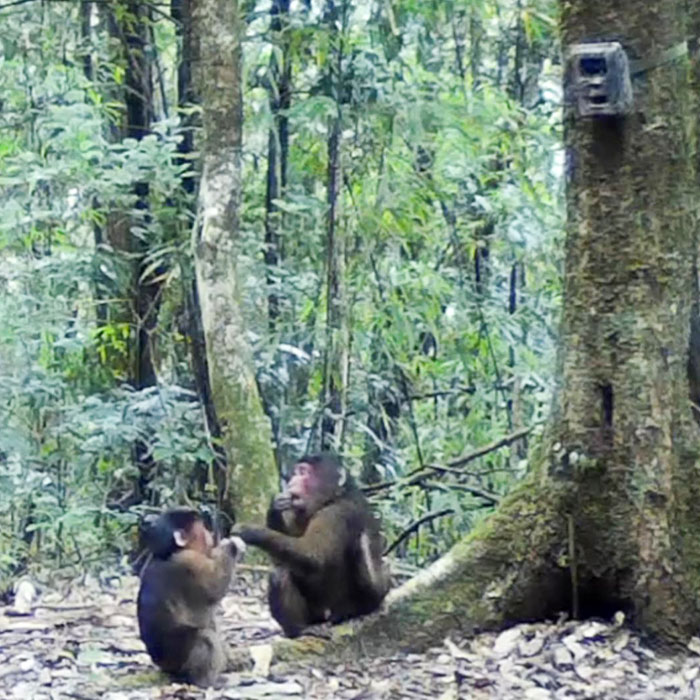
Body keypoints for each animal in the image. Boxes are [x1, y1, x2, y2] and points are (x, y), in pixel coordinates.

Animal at [137, 506, 246, 688]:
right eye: (203, 529)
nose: (211, 533)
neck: (170, 552)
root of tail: (163, 666)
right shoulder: (189, 562)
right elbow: (214, 587)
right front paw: (231, 545)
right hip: (175, 658)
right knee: (204, 638)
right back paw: (205, 681)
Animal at [235, 454, 388, 640]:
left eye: (303, 472)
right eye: (296, 473)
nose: (291, 481)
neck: (332, 498)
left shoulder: (337, 513)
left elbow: (312, 556)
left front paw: (250, 531)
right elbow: (283, 557)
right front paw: (274, 508)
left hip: (342, 608)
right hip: (317, 615)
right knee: (282, 573)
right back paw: (298, 629)